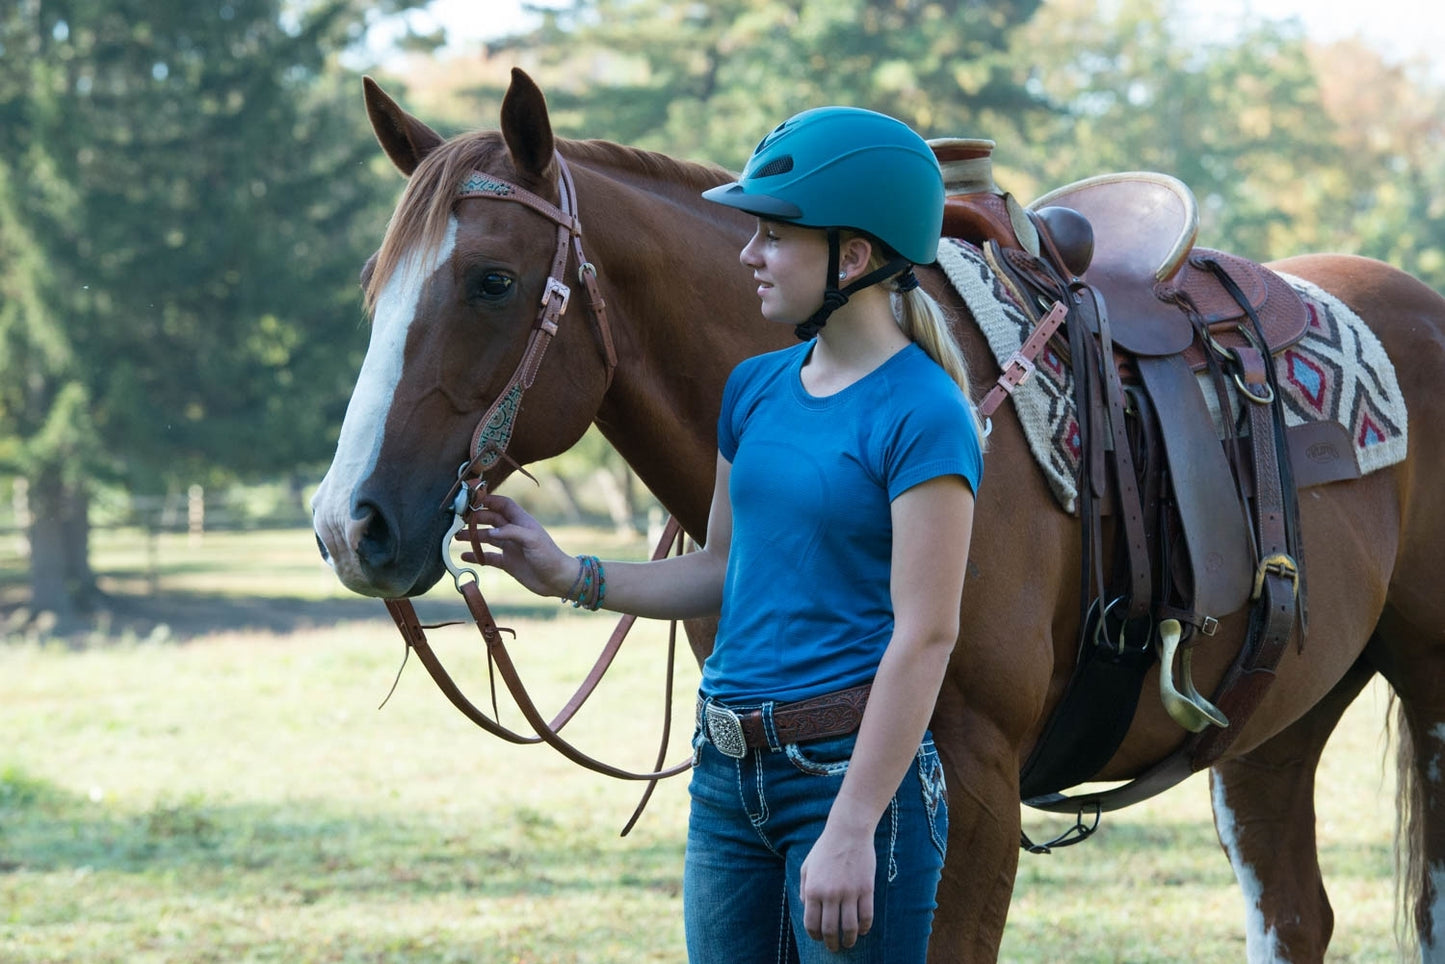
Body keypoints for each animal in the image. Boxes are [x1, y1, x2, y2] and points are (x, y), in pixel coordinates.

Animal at [310, 66, 1445, 959]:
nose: (348, 526)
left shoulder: (969, 787)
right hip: (1271, 720)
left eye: (492, 281)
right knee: (1292, 915)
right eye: (372, 283)